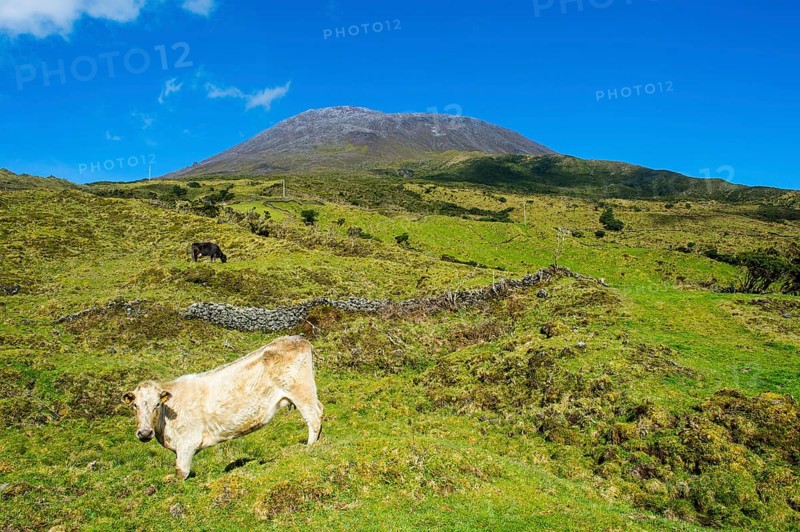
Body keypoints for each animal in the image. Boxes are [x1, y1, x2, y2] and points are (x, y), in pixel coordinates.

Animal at [122, 336, 323, 479]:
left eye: (157, 404)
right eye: (135, 406)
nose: (145, 433)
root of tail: (300, 339)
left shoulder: (187, 443)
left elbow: (181, 472)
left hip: (300, 390)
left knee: (313, 416)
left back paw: (310, 447)